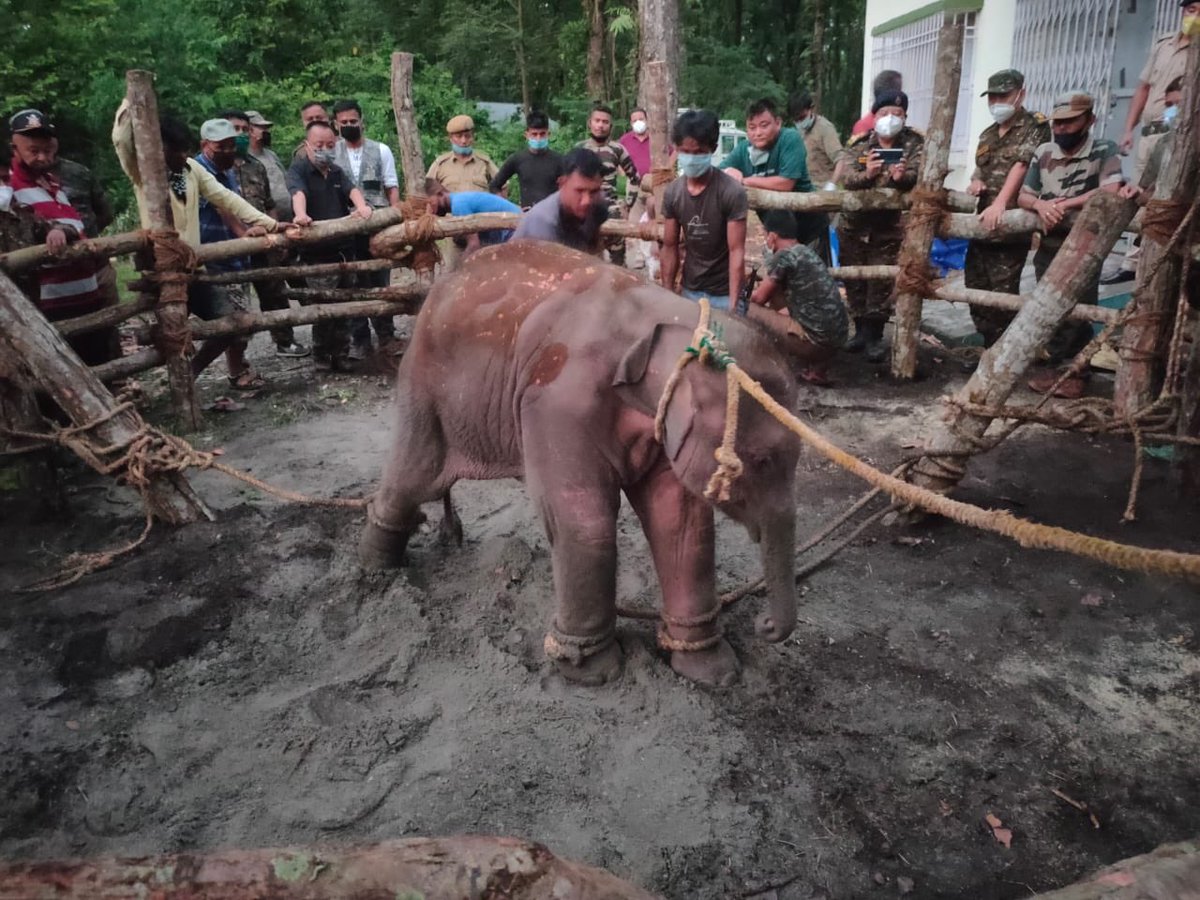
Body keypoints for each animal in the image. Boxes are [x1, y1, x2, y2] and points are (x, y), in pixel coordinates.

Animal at [360, 243, 801, 686]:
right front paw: (592, 672)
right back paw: (377, 571)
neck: (670, 321)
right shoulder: (557, 401)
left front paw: (713, 672)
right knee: (417, 477)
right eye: (760, 461)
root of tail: (445, 280)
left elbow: (680, 522)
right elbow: (584, 520)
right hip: (425, 384)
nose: (765, 626)